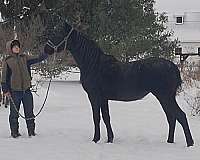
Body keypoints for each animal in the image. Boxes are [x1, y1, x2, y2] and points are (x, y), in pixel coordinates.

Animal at [43, 21, 194, 147]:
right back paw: (170, 142)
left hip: (165, 97)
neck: (94, 64)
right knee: (172, 118)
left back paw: (189, 143)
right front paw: (110, 139)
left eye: (57, 34)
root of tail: (173, 67)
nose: (46, 49)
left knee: (180, 116)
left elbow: (96, 117)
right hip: (164, 98)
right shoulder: (104, 98)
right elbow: (106, 118)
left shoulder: (94, 96)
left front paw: (95, 139)